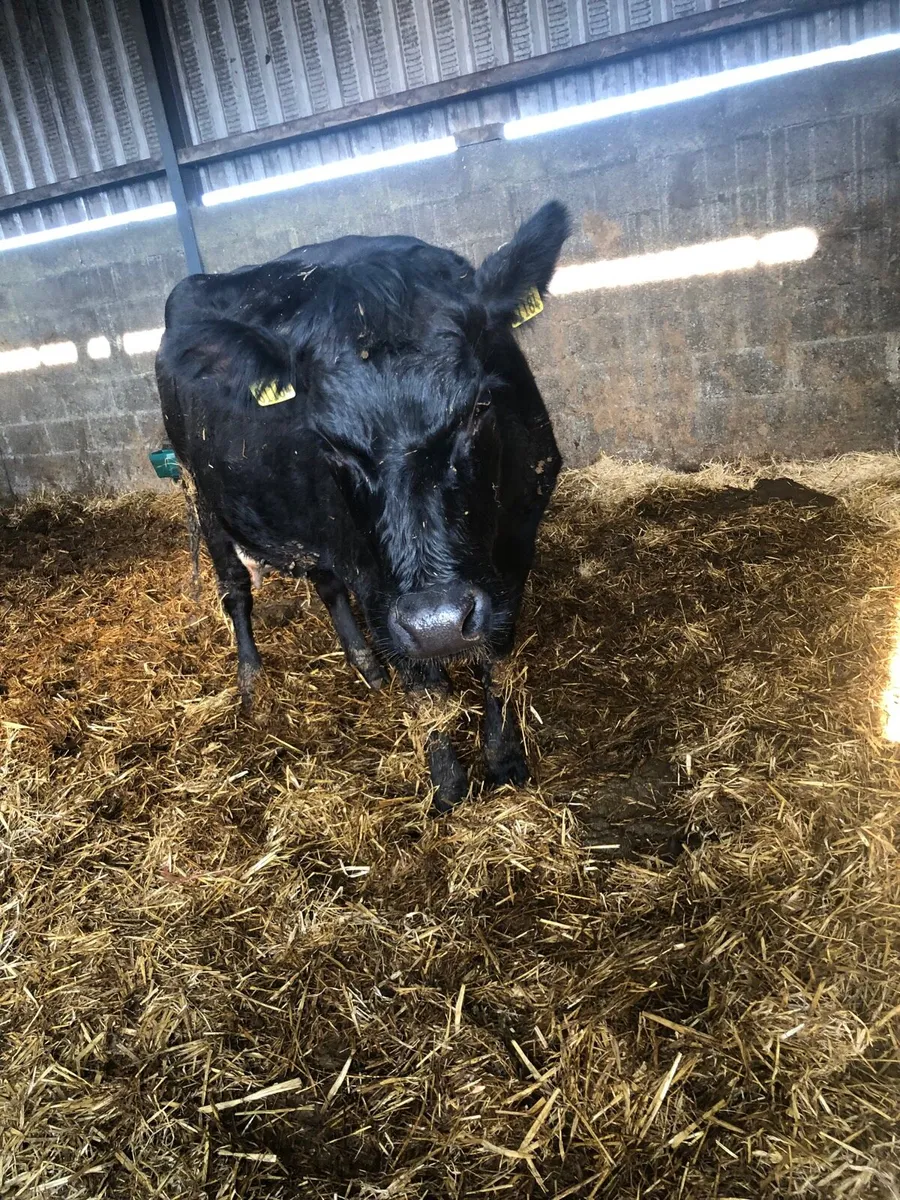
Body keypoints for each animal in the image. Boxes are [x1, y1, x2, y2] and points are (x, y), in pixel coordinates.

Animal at [156, 201, 570, 811]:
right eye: (329, 442)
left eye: (479, 406)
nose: (437, 622)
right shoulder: (379, 585)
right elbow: (423, 685)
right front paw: (449, 788)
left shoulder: (518, 541)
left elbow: (496, 657)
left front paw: (504, 760)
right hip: (205, 496)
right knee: (236, 591)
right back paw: (253, 685)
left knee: (326, 584)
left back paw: (366, 667)